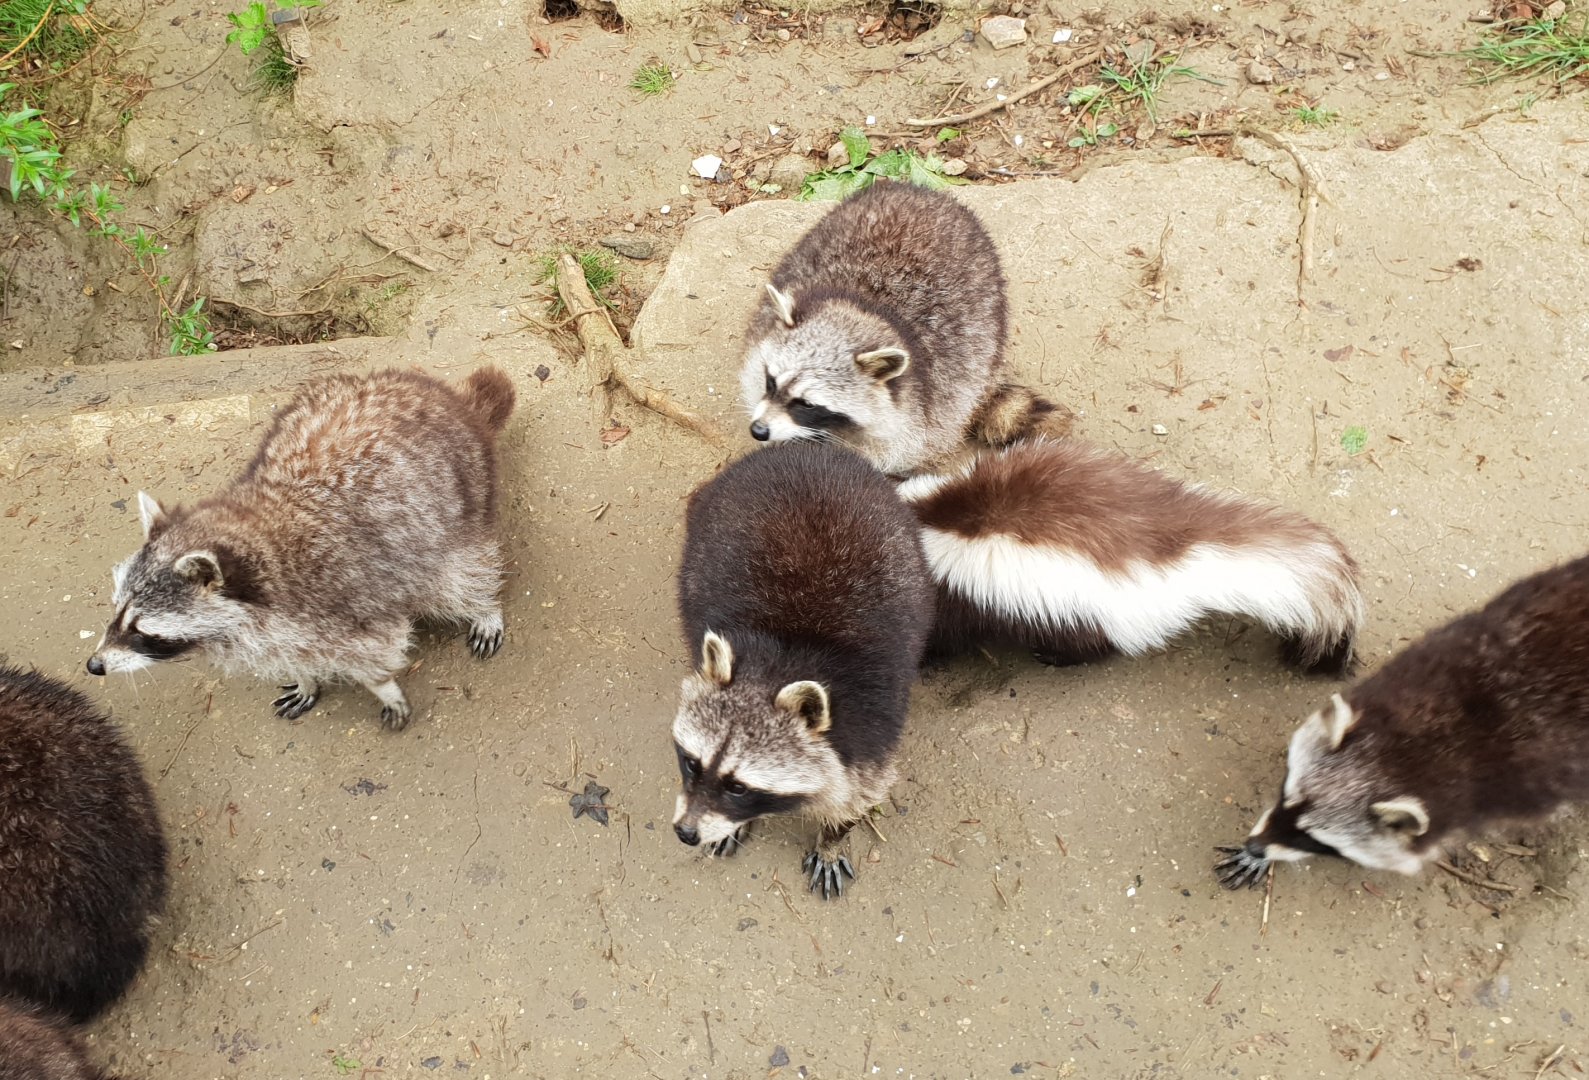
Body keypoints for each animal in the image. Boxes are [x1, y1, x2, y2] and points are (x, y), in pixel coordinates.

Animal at [88, 366, 516, 730]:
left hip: (458, 497)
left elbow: (377, 650)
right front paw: (306, 677)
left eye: (142, 629)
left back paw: (483, 605)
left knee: (460, 575)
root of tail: (445, 396)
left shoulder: (347, 594)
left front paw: (384, 687)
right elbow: (292, 651)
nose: (94, 665)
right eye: (116, 610)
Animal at [671, 442, 935, 898]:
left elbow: (861, 789)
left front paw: (832, 837)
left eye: (738, 786)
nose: (686, 833)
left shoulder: (870, 721)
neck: (781, 662)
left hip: (907, 542)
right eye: (692, 763)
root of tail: (802, 448)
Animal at [739, 181, 1056, 476]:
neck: (864, 308)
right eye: (771, 381)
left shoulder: (928, 406)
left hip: (989, 310)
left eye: (807, 404)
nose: (759, 430)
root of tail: (930, 193)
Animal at [899, 438, 1363, 674]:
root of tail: (1178, 542)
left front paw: (925, 665)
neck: (928, 513)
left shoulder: (947, 592)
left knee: (1094, 644)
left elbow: (941, 635)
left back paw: (1053, 658)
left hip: (1088, 611)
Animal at [1218, 553, 1589, 887]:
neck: (1422, 740)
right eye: (1286, 797)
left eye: (1315, 841)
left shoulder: (1525, 787)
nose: (1255, 846)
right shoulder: (1434, 654)